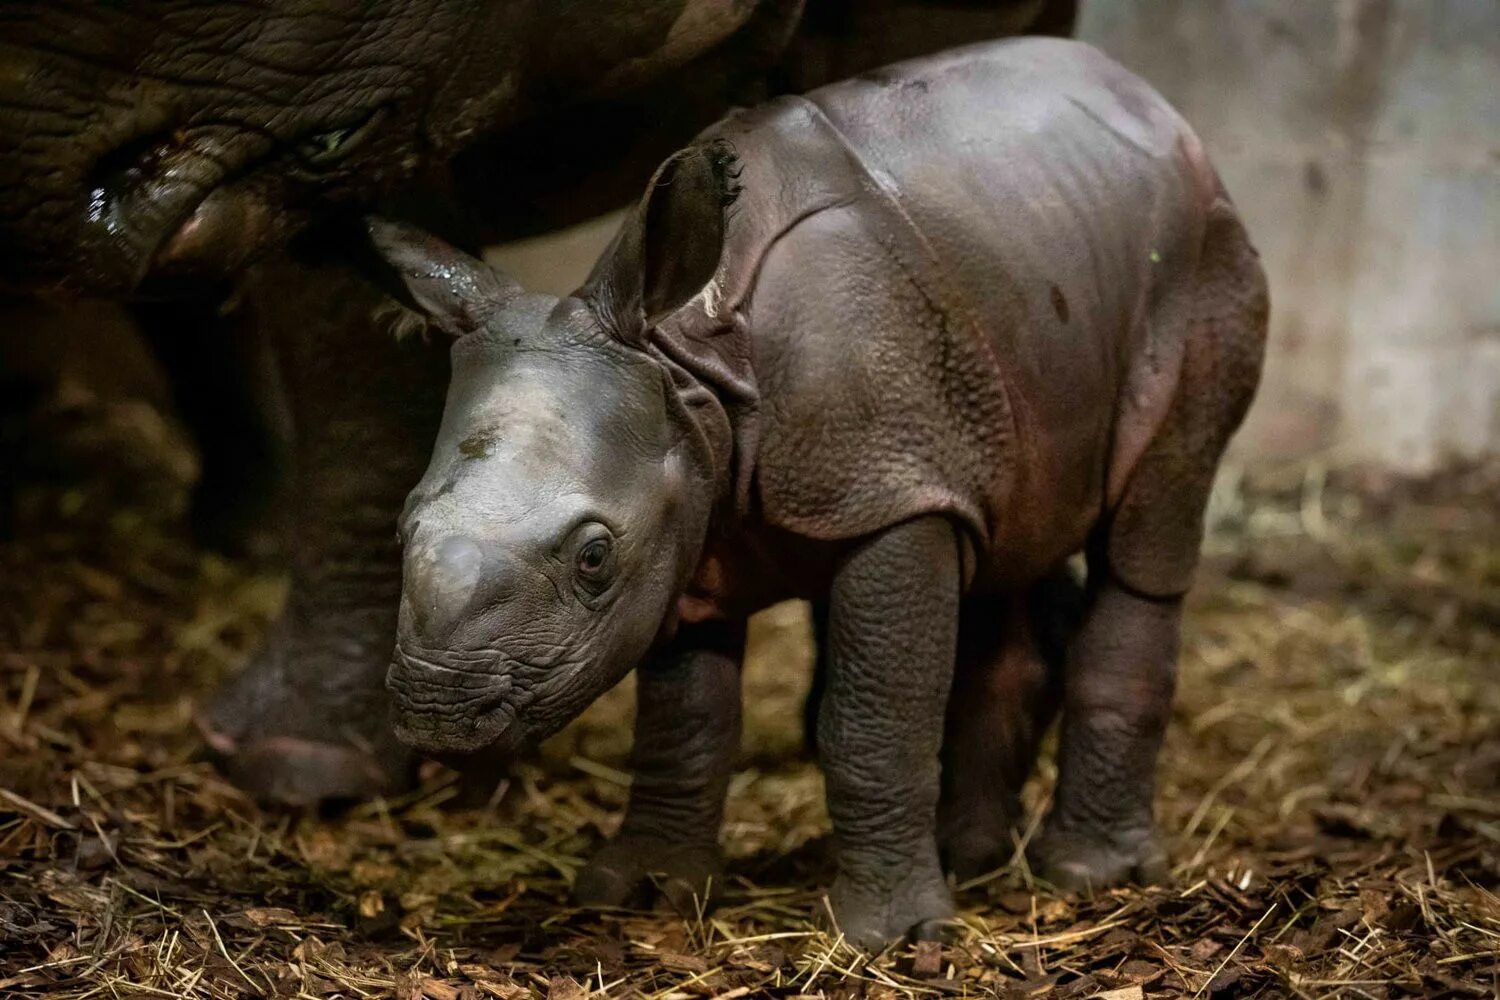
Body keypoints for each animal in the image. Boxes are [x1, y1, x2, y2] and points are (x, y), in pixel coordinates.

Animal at [372, 37, 1266, 947]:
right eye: (401, 529)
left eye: (594, 558)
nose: (440, 712)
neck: (688, 363)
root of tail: (1157, 104)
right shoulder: (687, 513)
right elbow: (684, 720)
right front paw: (647, 894)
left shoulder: (893, 492)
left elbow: (874, 721)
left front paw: (891, 936)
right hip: (1029, 288)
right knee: (1011, 534)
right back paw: (975, 857)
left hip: (1205, 257)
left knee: (1145, 539)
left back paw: (1087, 875)